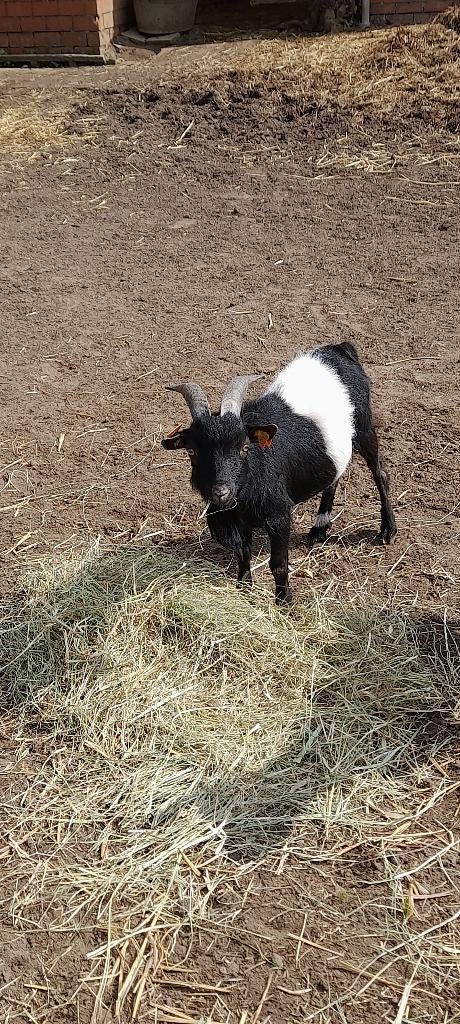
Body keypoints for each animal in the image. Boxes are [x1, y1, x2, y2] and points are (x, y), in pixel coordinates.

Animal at [162, 343, 397, 604]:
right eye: (192, 451)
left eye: (244, 447)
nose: (221, 492)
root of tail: (339, 349)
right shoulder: (237, 518)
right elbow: (243, 554)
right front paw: (244, 590)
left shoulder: (279, 514)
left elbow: (278, 564)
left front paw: (284, 602)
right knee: (334, 477)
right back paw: (319, 529)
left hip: (365, 427)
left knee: (380, 472)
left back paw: (388, 530)